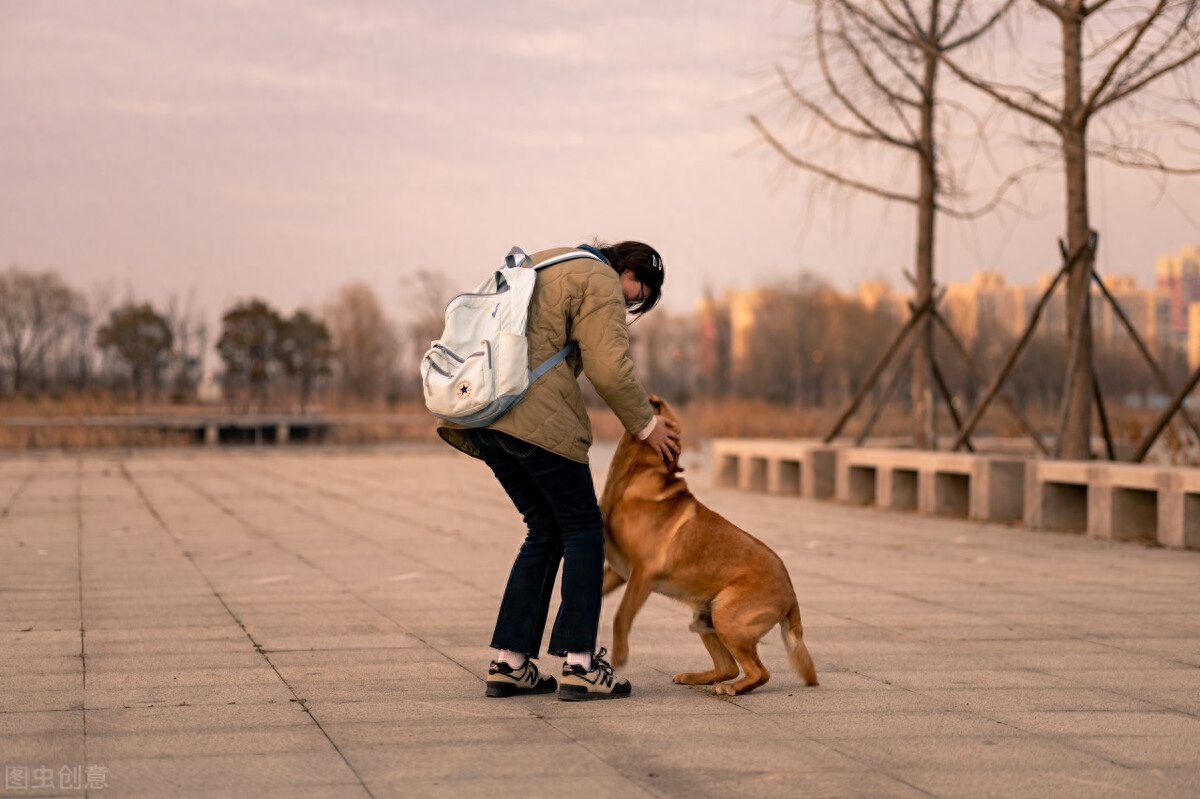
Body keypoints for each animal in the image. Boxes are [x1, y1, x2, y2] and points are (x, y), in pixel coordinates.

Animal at [597, 395, 816, 695]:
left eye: (660, 409)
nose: (649, 399)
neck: (629, 481)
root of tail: (792, 596)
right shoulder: (619, 573)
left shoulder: (643, 574)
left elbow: (621, 616)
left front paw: (619, 655)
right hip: (703, 619)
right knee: (728, 667)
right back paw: (695, 677)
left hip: (726, 618)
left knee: (759, 671)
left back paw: (731, 688)